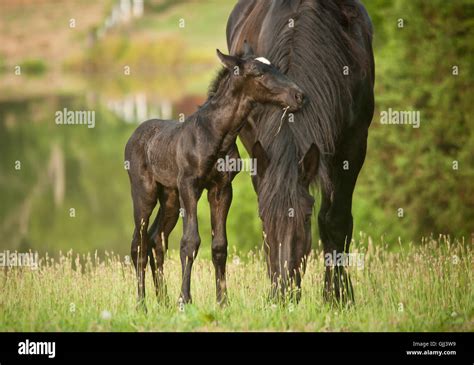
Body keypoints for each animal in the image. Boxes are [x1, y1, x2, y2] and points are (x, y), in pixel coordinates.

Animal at [124, 45, 306, 308]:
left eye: (276, 68)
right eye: (258, 72)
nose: (299, 96)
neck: (218, 135)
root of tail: (133, 135)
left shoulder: (221, 188)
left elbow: (219, 245)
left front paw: (222, 302)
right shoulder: (189, 186)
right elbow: (190, 242)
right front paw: (184, 300)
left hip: (169, 198)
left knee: (155, 239)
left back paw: (163, 301)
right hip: (144, 193)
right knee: (138, 243)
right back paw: (142, 304)